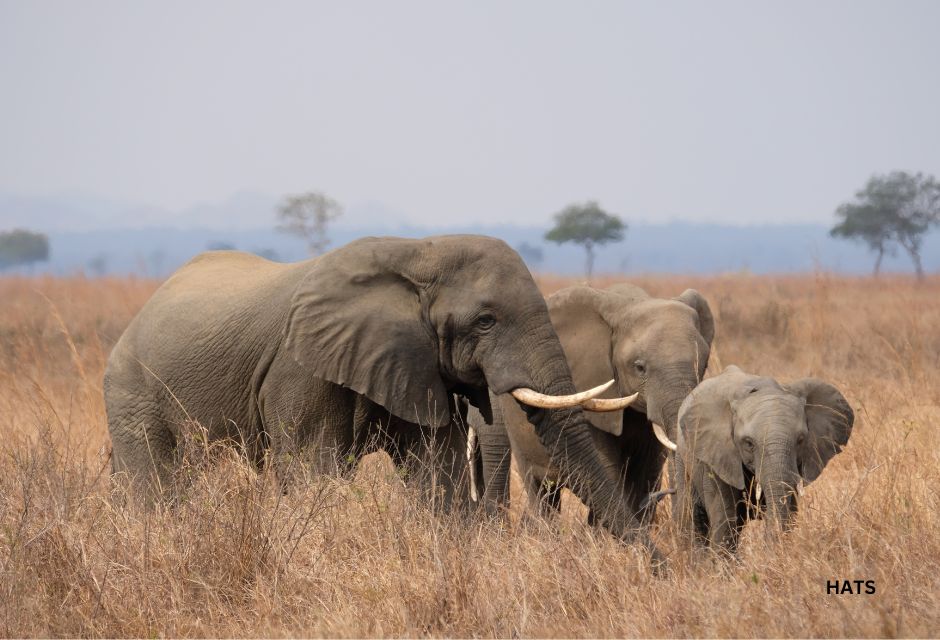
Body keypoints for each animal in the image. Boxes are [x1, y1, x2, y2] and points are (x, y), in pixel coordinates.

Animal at [104, 235, 660, 556]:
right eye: (485, 320)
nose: (653, 564)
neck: (419, 252)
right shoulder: (300, 368)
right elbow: (313, 467)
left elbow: (436, 470)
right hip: (131, 393)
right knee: (157, 482)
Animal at [672, 368, 856, 552]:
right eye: (749, 443)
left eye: (800, 440)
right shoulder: (715, 454)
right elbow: (724, 516)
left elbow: (790, 510)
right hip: (683, 460)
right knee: (693, 516)